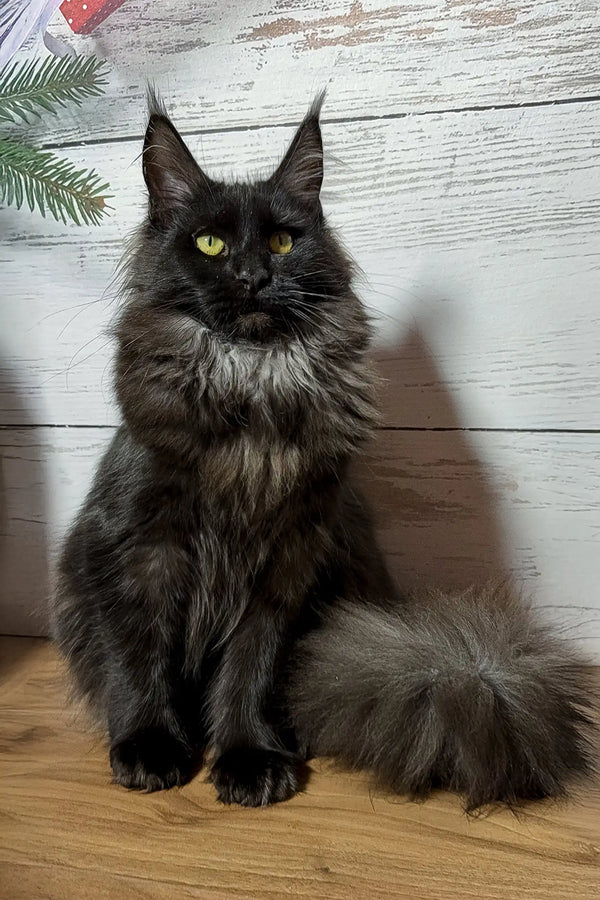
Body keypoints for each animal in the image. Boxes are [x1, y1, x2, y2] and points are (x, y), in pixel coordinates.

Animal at [52, 93, 596, 808]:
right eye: (209, 242)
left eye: (283, 241)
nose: (253, 277)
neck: (252, 386)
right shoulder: (139, 546)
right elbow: (139, 657)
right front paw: (149, 748)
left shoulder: (288, 558)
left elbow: (250, 668)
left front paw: (249, 757)